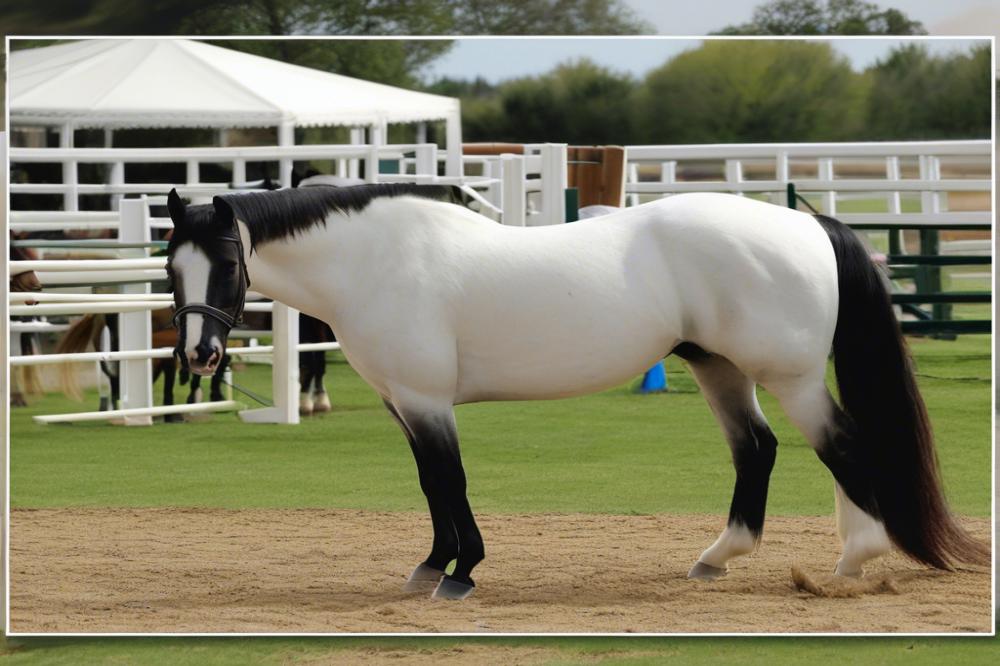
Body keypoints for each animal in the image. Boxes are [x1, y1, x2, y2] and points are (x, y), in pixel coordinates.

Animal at [164, 184, 984, 600]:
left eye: (229, 264)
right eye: (172, 268)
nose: (201, 356)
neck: (375, 259)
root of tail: (810, 226)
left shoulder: (427, 400)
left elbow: (450, 479)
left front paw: (461, 572)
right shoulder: (406, 402)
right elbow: (432, 483)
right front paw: (433, 565)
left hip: (791, 377)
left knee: (840, 445)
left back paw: (854, 560)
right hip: (719, 367)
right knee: (760, 449)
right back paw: (722, 556)